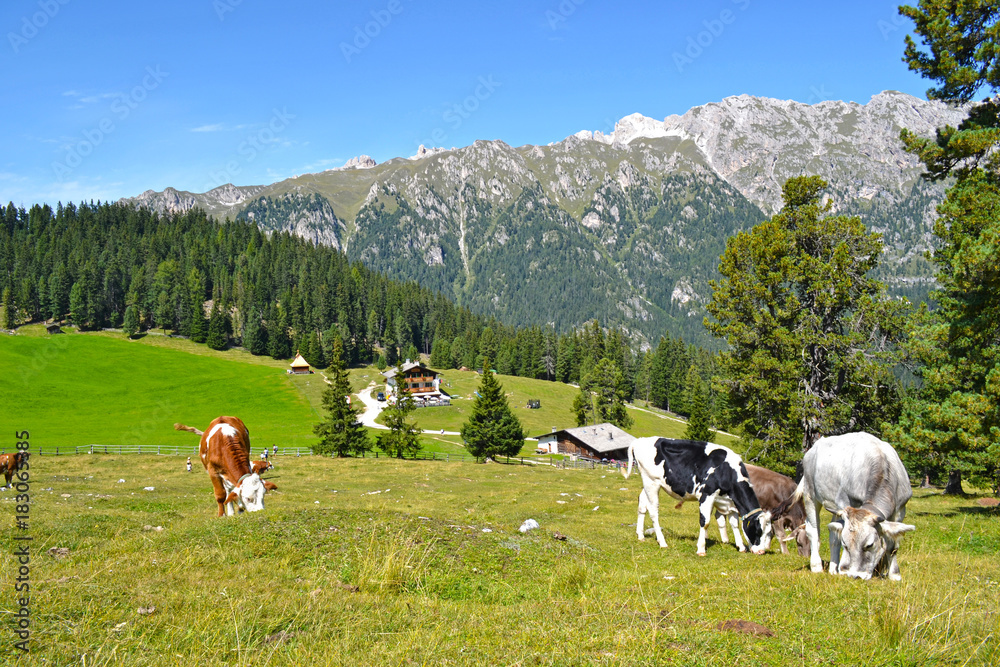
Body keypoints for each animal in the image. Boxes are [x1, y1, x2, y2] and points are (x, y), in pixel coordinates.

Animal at [623, 437, 773, 556]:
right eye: (757, 530)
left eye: (769, 533)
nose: (761, 551)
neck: (727, 471)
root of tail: (640, 440)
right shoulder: (706, 494)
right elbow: (705, 522)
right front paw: (701, 549)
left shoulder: (729, 502)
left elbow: (734, 523)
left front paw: (741, 546)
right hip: (651, 482)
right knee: (653, 511)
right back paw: (662, 542)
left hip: (648, 484)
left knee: (642, 505)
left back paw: (640, 535)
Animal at [774, 432, 915, 581]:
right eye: (845, 544)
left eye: (869, 545)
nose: (855, 576)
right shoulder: (845, 504)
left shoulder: (900, 510)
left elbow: (892, 544)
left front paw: (894, 575)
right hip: (810, 495)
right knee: (813, 530)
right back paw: (816, 566)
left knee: (833, 532)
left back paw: (833, 568)